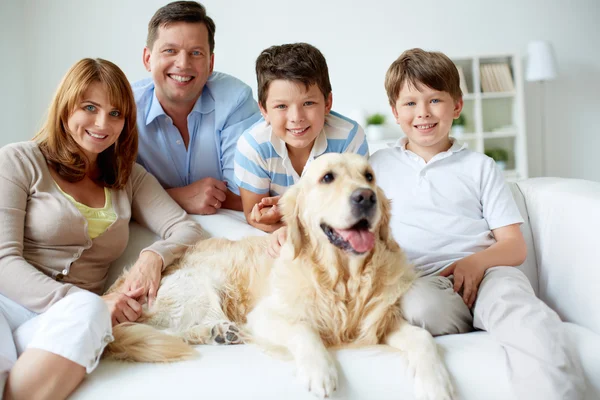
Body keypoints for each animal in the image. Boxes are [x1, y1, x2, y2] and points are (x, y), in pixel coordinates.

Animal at [106, 154, 454, 400]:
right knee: (158, 331)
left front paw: (437, 383)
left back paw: (221, 332)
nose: (366, 197)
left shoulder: (379, 322)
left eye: (369, 176)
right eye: (327, 178)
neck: (343, 280)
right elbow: (304, 331)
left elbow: (422, 338)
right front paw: (320, 371)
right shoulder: (266, 315)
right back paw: (218, 331)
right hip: (200, 285)